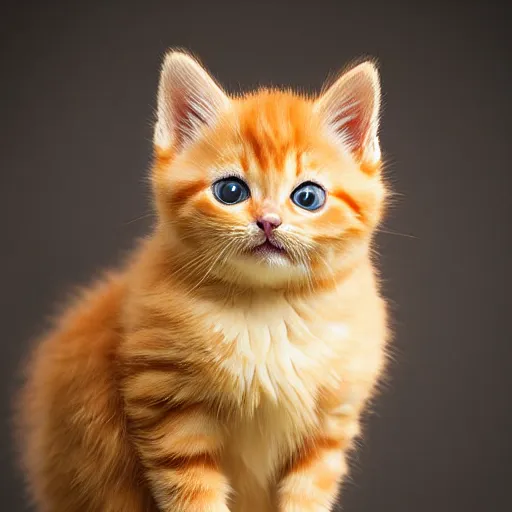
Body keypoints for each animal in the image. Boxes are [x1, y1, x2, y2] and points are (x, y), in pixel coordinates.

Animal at [18, 50, 390, 510]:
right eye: (230, 191)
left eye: (308, 197)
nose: (269, 221)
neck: (267, 310)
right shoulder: (166, 409)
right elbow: (194, 495)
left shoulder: (328, 427)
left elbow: (306, 495)